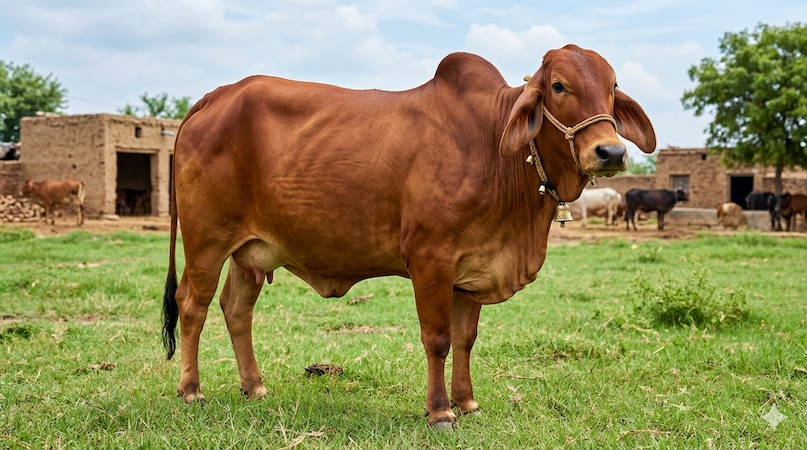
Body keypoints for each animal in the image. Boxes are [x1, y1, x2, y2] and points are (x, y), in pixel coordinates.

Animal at [161, 45, 656, 428]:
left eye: (613, 85)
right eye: (557, 85)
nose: (610, 152)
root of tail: (215, 96)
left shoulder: (471, 269)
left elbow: (465, 338)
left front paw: (467, 402)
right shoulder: (430, 259)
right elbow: (437, 338)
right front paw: (440, 412)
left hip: (251, 252)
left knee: (236, 309)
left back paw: (255, 387)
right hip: (206, 242)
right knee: (193, 304)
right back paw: (191, 390)